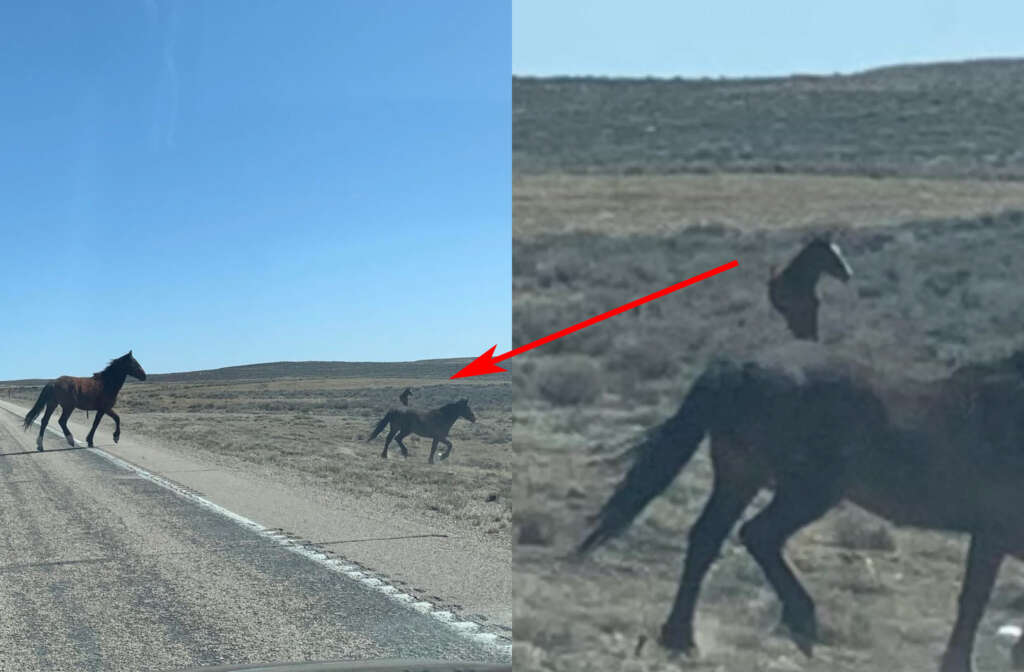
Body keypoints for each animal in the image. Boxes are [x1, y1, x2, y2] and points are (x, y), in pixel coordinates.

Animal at [581, 342, 1024, 672]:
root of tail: (740, 368)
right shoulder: (992, 533)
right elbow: (973, 601)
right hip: (806, 492)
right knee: (756, 534)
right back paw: (802, 622)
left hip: (740, 478)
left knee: (707, 538)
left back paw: (680, 637)